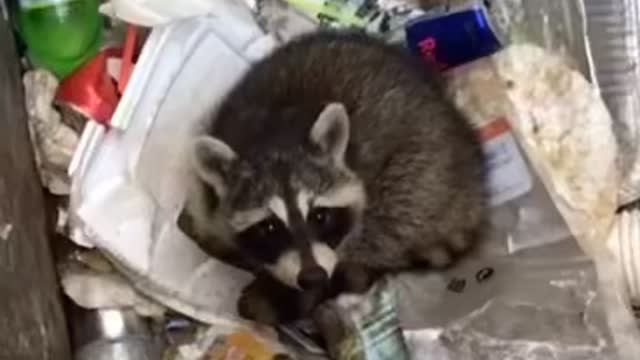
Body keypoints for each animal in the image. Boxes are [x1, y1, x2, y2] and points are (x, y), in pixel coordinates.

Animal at [182, 31, 488, 324]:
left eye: (320, 216)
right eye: (268, 227)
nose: (313, 277)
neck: (272, 136)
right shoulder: (207, 204)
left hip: (428, 174)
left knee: (393, 217)